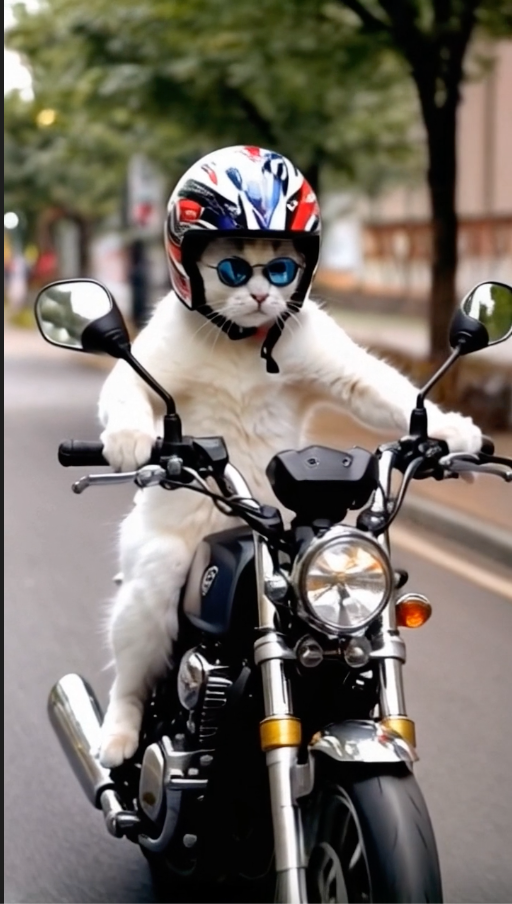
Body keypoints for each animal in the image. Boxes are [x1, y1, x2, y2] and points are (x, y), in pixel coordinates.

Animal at [97, 237, 480, 768]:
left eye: (282, 269)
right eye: (232, 268)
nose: (261, 296)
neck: (240, 340)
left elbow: (375, 387)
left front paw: (451, 432)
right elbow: (126, 385)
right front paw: (128, 438)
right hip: (152, 575)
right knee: (135, 660)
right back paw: (117, 735)